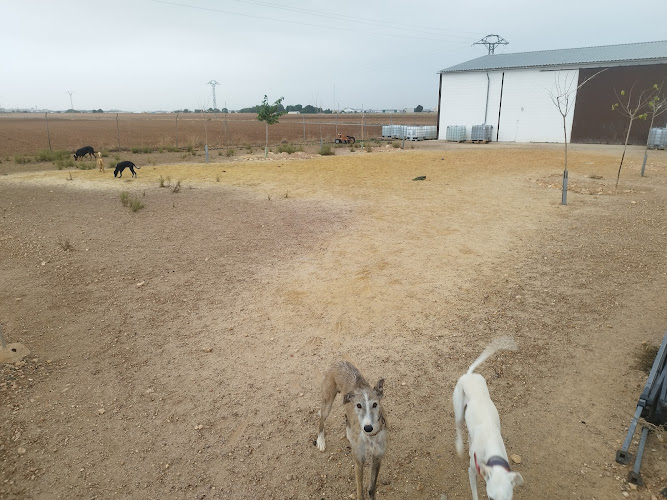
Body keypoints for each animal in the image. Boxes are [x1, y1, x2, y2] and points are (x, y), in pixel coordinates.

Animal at [454, 336, 528, 500]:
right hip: (458, 410)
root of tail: (469, 375)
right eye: (490, 497)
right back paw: (460, 447)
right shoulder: (472, 472)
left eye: (508, 499)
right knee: (459, 427)